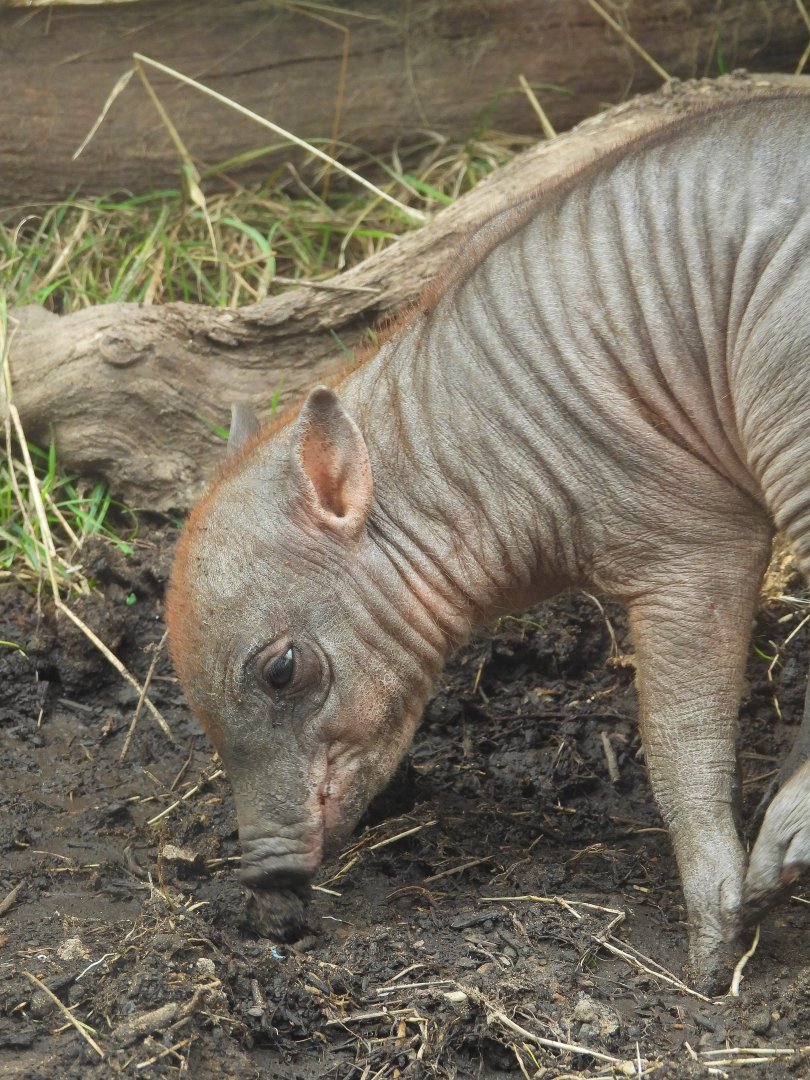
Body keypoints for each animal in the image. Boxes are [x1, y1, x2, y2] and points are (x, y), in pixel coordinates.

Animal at [167, 90, 810, 993]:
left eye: (283, 670)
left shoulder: (695, 547)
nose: (267, 883)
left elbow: (678, 740)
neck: (467, 448)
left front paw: (715, 947)